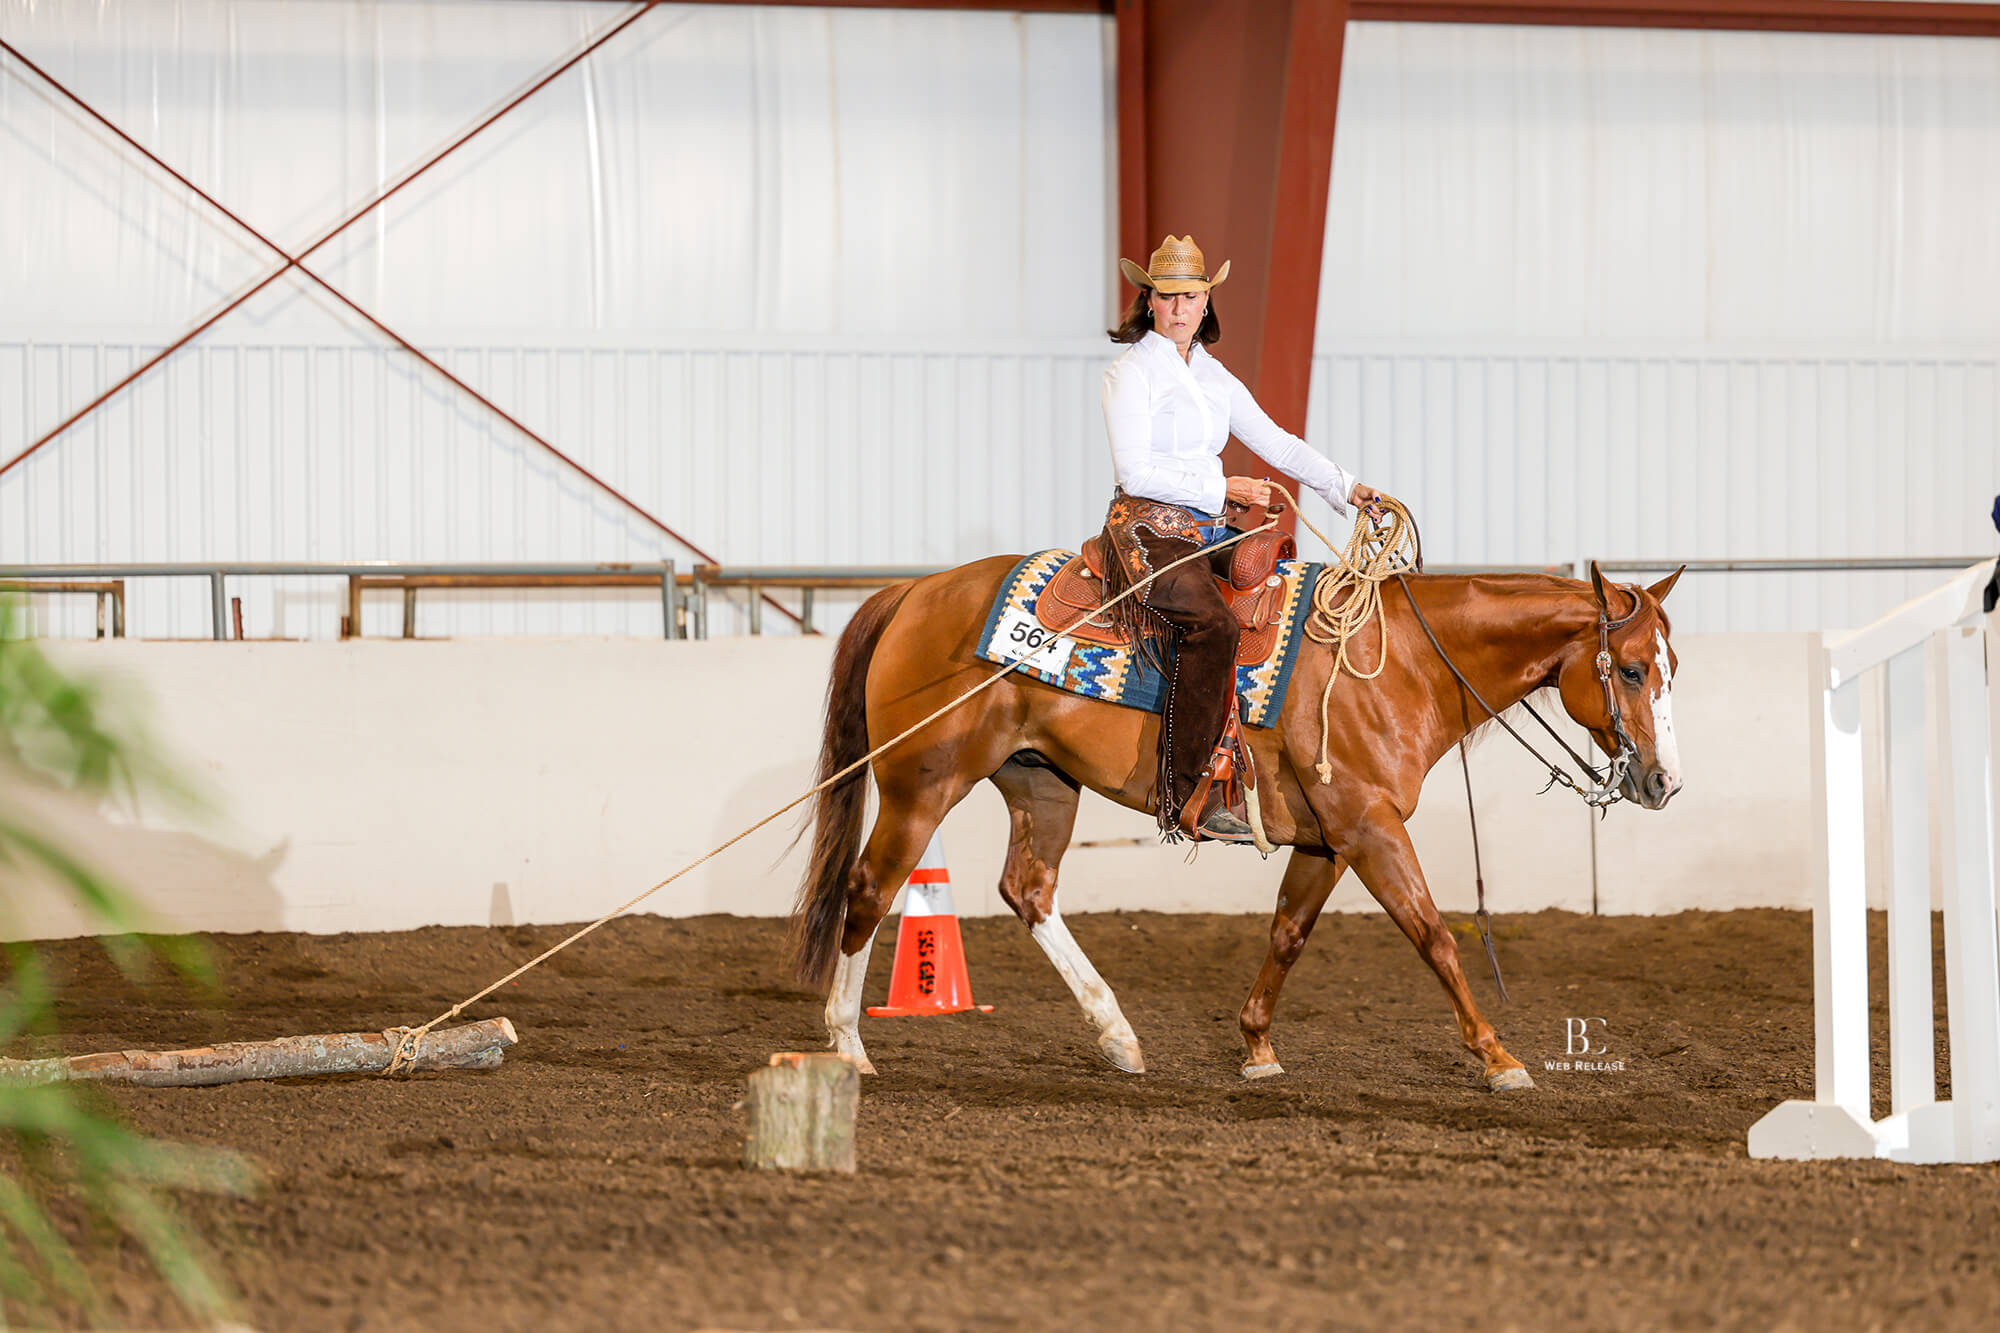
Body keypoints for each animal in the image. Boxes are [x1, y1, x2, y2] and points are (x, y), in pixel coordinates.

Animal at [789, 550, 1683, 1091]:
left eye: (1672, 665)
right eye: (1633, 669)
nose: (1664, 781)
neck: (1397, 661)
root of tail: (918, 590)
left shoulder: (1330, 838)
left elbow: (1288, 931)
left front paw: (1255, 1045)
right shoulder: (1370, 827)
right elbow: (1434, 932)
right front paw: (1499, 1056)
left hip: (1040, 780)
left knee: (1029, 890)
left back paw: (1117, 1035)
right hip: (922, 782)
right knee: (869, 891)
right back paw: (848, 1045)